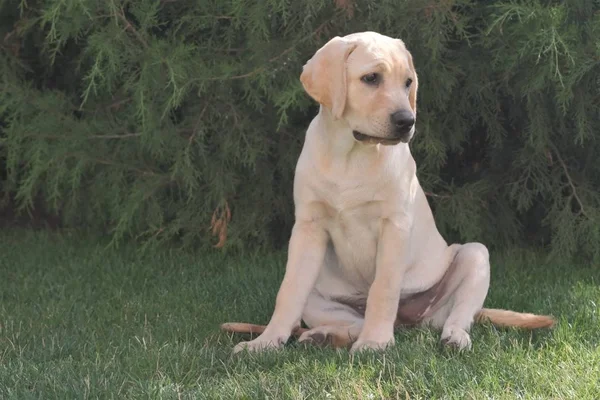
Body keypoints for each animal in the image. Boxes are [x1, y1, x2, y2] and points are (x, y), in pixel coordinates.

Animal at [221, 31, 552, 354]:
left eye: (408, 82)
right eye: (371, 78)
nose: (407, 121)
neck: (351, 155)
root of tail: (408, 322)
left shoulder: (394, 225)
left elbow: (384, 287)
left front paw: (376, 342)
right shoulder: (308, 227)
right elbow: (288, 290)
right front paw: (266, 341)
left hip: (474, 256)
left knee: (459, 315)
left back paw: (453, 338)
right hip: (319, 295)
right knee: (347, 322)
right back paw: (324, 335)